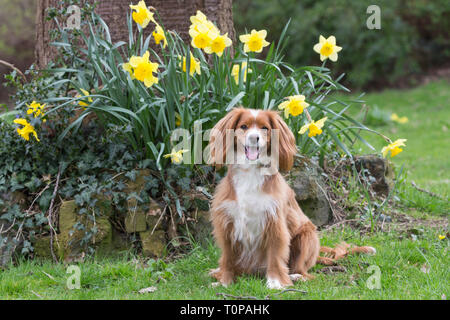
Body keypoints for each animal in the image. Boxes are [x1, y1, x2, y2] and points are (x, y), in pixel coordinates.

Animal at [208, 108, 376, 290]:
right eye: (243, 126)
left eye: (265, 128)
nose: (254, 138)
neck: (251, 172)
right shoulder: (227, 223)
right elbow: (228, 257)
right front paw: (224, 281)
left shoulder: (275, 224)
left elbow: (275, 256)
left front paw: (275, 282)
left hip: (306, 236)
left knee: (306, 273)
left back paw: (295, 276)